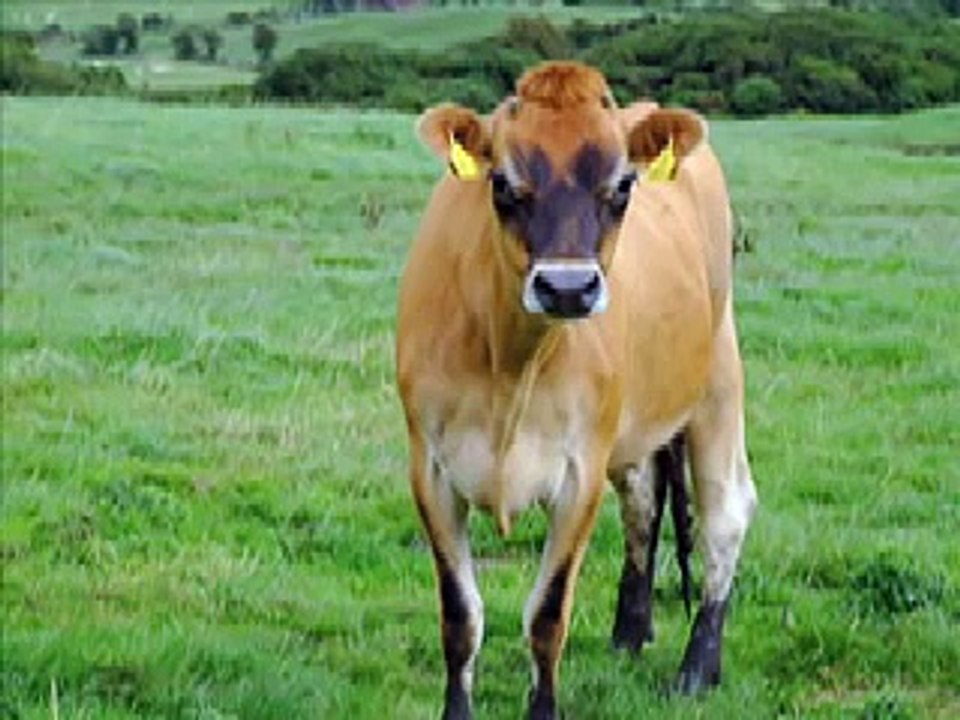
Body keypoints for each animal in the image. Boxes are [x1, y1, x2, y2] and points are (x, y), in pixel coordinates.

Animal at [395, 61, 757, 719]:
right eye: (503, 183)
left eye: (622, 187)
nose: (567, 288)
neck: (511, 363)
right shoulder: (429, 468)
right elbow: (460, 619)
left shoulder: (578, 473)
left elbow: (547, 617)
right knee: (644, 502)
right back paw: (630, 632)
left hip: (718, 381)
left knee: (725, 515)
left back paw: (698, 667)